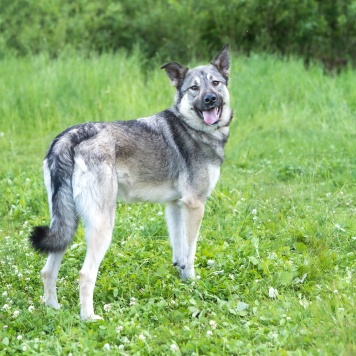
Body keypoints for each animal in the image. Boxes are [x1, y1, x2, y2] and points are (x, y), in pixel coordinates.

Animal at [29, 44, 232, 320]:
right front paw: (193, 283)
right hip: (102, 225)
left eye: (215, 83)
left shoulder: (175, 206)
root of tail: (71, 135)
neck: (194, 128)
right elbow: (190, 252)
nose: (210, 99)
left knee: (48, 270)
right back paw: (89, 318)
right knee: (85, 274)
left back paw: (53, 309)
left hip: (65, 224)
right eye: (194, 88)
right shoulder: (195, 205)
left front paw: (182, 280)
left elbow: (179, 249)